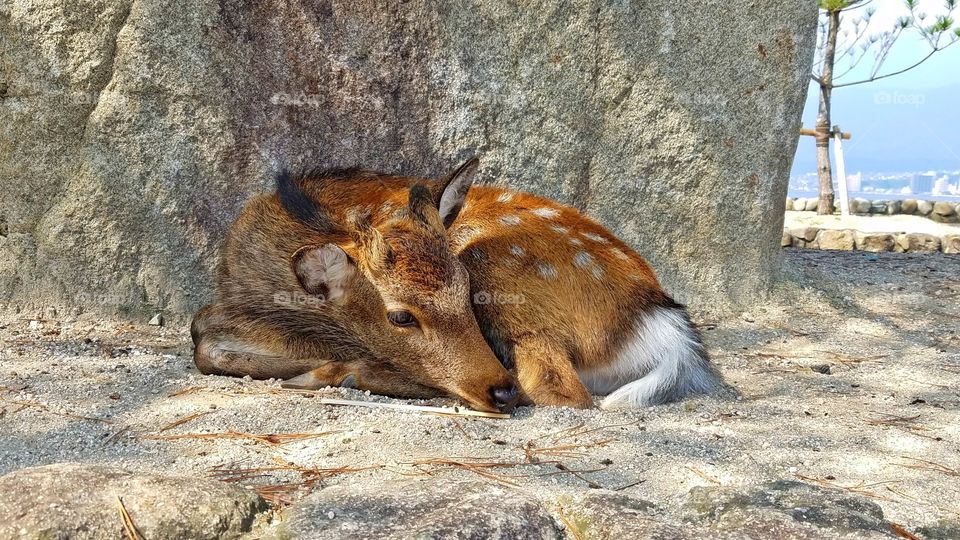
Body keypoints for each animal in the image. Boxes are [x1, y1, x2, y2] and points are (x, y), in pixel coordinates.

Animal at [193, 158, 720, 412]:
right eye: (400, 315)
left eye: (466, 293)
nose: (498, 391)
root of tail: (664, 327)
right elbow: (202, 332)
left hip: (497, 262)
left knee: (558, 390)